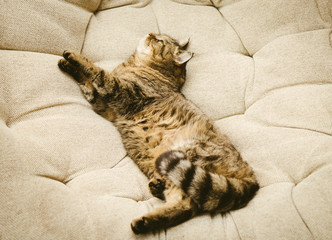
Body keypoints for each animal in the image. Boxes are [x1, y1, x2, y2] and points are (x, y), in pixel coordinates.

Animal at [57, 32, 260, 233]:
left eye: (160, 41)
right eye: (159, 35)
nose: (150, 33)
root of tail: (252, 179)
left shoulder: (121, 92)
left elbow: (98, 72)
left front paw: (73, 57)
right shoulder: (102, 104)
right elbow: (87, 83)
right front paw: (68, 65)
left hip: (185, 156)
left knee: (186, 205)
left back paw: (144, 222)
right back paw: (156, 191)